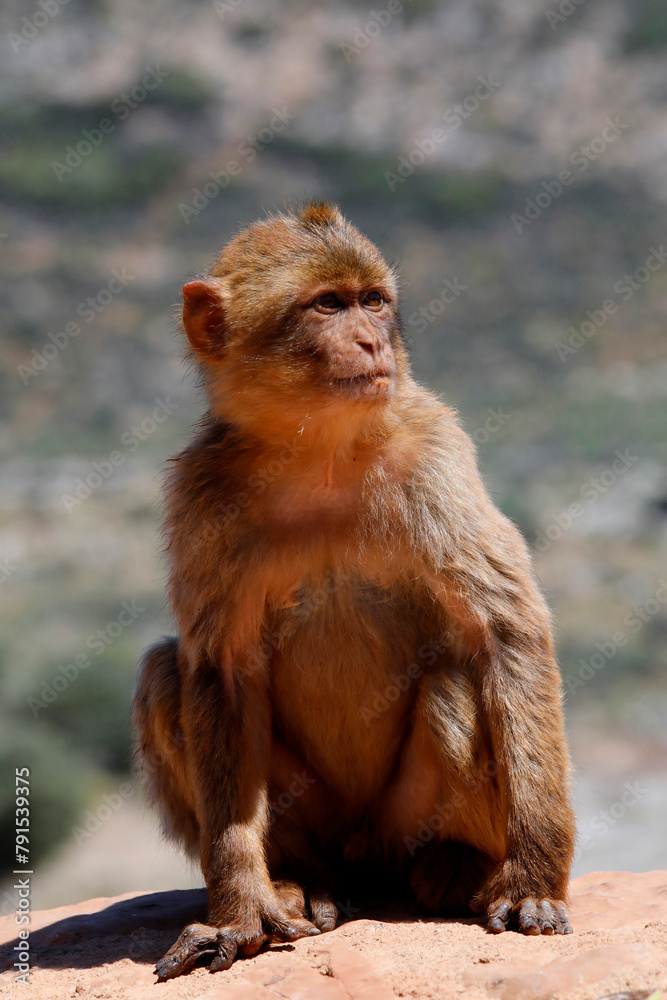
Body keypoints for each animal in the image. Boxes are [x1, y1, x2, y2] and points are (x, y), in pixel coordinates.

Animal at [133, 201, 576, 976]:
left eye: (373, 301)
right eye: (327, 305)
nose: (372, 341)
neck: (318, 448)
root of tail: (362, 858)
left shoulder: (434, 451)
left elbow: (505, 630)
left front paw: (533, 880)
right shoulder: (200, 495)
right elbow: (221, 670)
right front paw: (240, 908)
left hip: (396, 826)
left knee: (453, 683)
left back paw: (455, 863)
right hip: (314, 821)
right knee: (166, 675)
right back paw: (297, 880)